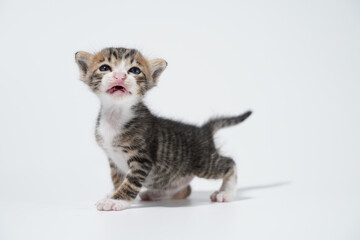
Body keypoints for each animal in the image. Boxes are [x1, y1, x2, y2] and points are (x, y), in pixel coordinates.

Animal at [74, 47, 252, 211]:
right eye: (104, 68)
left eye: (135, 70)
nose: (120, 76)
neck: (115, 114)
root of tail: (203, 130)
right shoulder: (113, 160)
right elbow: (117, 180)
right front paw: (112, 194)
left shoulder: (142, 160)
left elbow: (130, 182)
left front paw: (115, 201)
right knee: (185, 189)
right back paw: (156, 193)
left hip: (204, 162)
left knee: (230, 163)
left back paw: (226, 193)